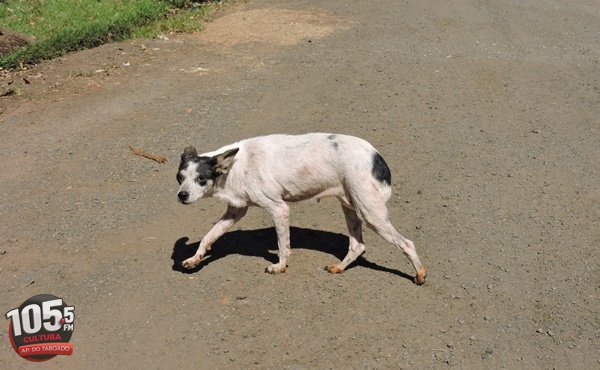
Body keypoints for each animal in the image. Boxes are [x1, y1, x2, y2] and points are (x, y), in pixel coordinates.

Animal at [175, 133, 426, 284]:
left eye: (201, 179)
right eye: (179, 177)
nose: (181, 196)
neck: (235, 167)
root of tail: (377, 156)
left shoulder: (279, 209)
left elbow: (282, 245)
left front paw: (280, 266)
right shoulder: (235, 211)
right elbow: (208, 236)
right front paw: (194, 259)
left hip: (370, 213)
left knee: (407, 243)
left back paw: (420, 274)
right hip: (350, 207)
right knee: (357, 246)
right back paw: (340, 267)